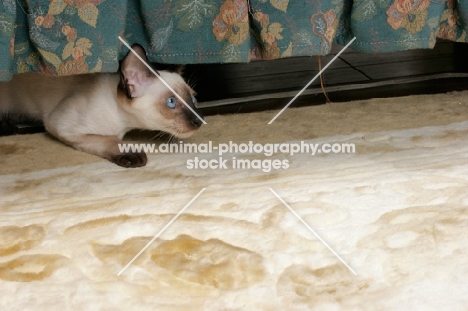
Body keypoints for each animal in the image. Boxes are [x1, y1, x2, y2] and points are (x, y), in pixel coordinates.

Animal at [0, 44, 203, 168]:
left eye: (193, 99)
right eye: (171, 102)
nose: (199, 121)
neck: (123, 123)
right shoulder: (61, 126)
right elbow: (109, 140)